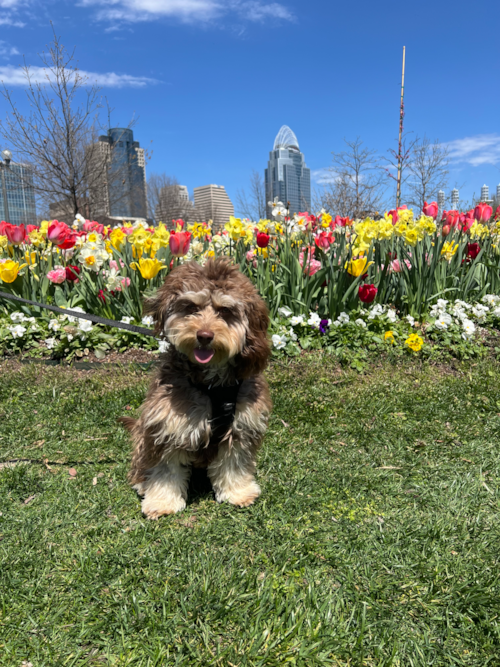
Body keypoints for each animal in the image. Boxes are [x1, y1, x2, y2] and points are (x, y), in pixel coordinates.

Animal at [120, 258, 272, 520]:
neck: (212, 385)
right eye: (191, 307)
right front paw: (162, 502)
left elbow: (235, 464)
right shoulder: (166, 427)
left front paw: (238, 493)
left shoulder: (242, 428)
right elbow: (164, 472)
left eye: (225, 311)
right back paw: (141, 481)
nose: (204, 335)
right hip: (143, 433)